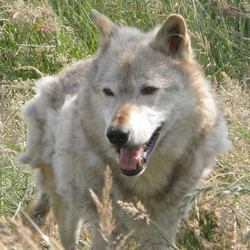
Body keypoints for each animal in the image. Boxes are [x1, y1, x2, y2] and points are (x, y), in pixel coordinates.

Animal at [18, 9, 230, 250]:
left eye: (148, 89)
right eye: (108, 91)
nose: (116, 134)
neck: (144, 184)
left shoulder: (163, 231)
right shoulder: (106, 231)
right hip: (67, 207)